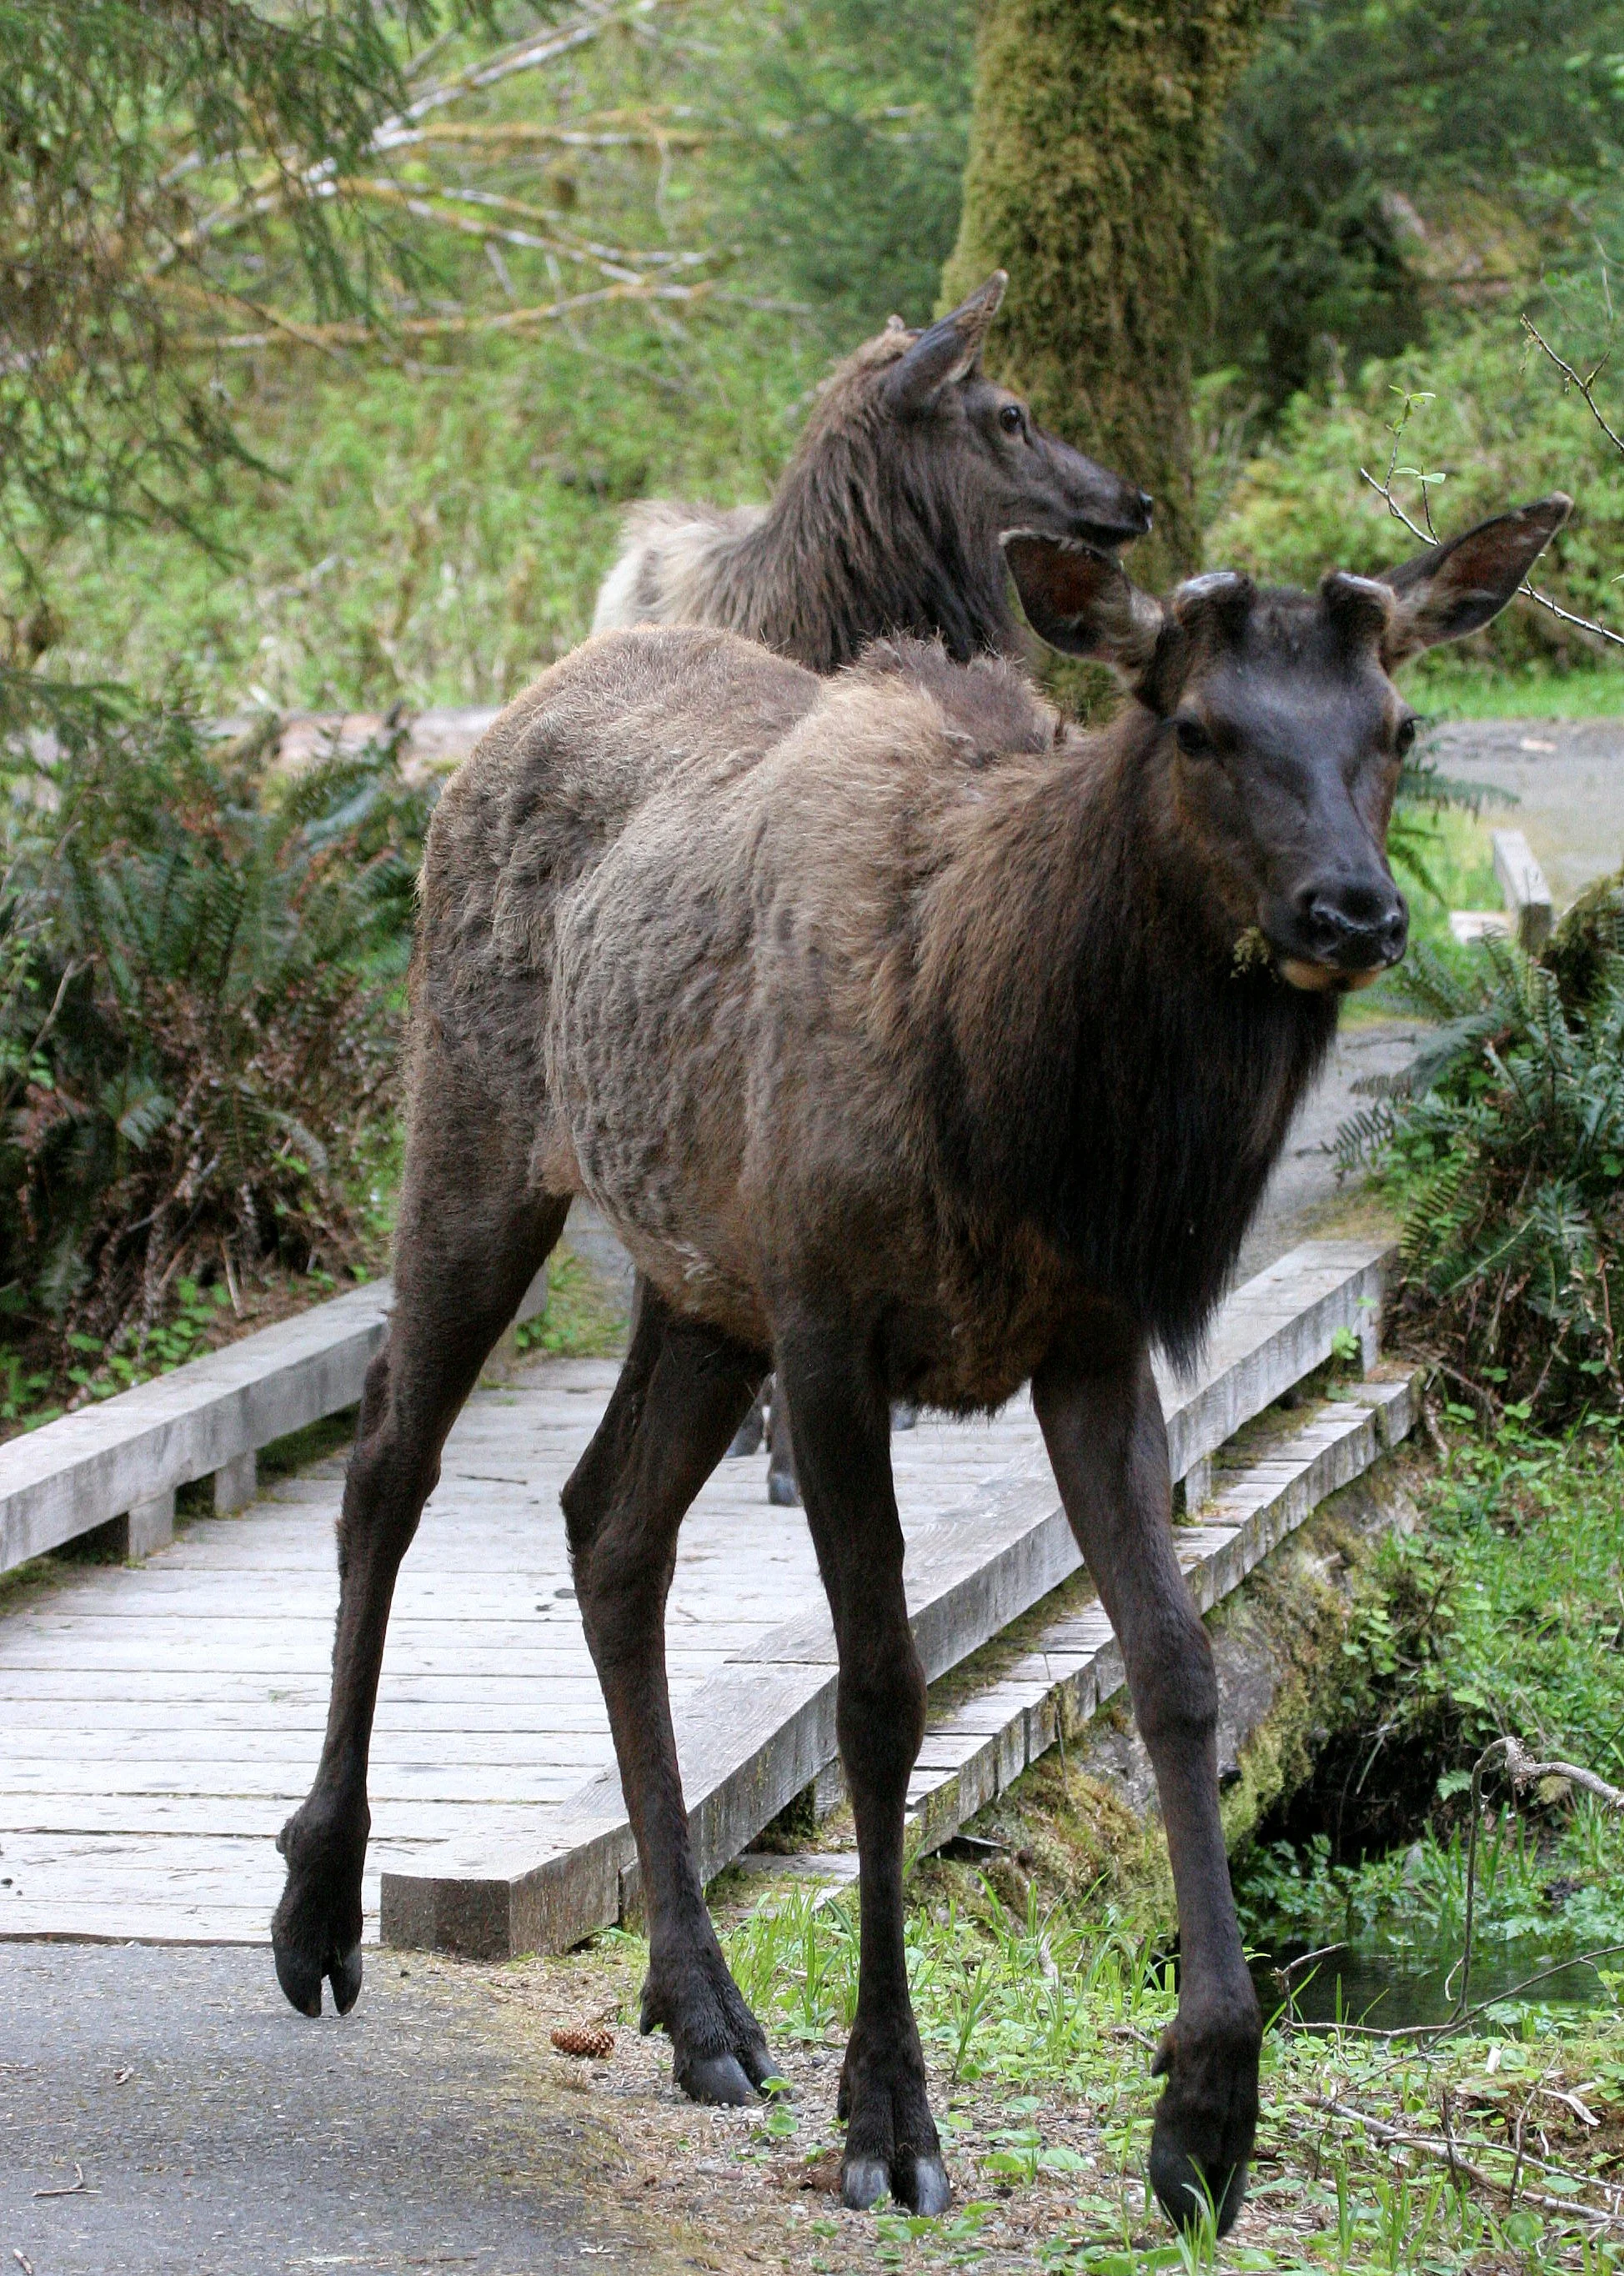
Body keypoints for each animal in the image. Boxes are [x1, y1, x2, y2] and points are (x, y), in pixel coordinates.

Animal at [270, 493, 1569, 2238]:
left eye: (1396, 726)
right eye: (1197, 726)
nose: (1350, 912)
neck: (1024, 1102)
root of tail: (506, 722)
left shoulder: (1087, 1340)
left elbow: (1175, 1671)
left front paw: (1206, 2112)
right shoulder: (833, 1330)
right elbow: (878, 1693)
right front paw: (887, 2112)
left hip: (700, 1281)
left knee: (607, 1526)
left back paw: (702, 2008)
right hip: (484, 1139)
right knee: (384, 1467)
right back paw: (317, 1910)